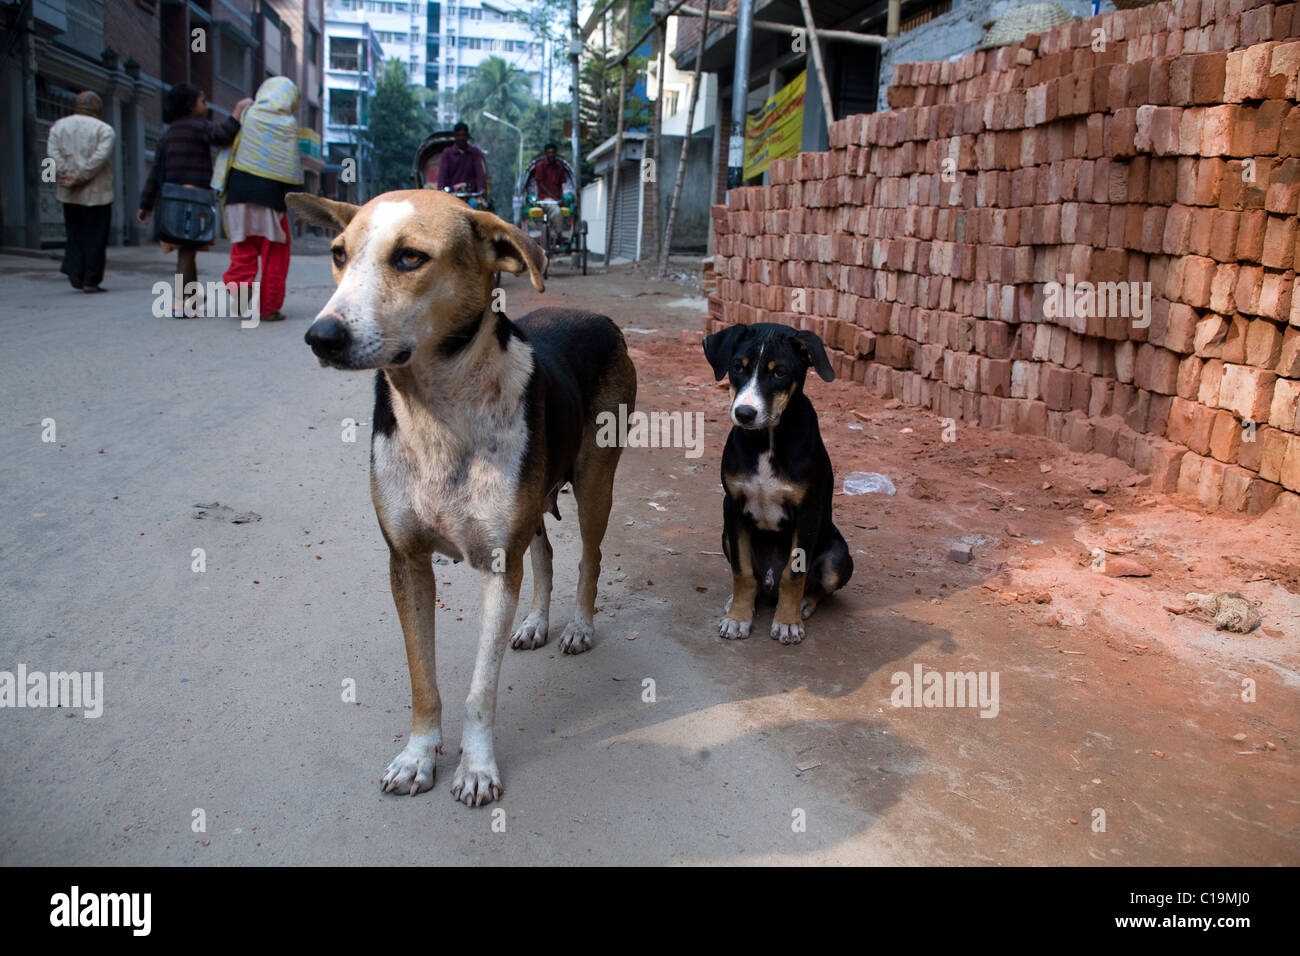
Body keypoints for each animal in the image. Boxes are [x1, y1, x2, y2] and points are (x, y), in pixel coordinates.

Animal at [284, 188, 634, 806]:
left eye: (410, 258)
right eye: (338, 254)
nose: (321, 336)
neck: (438, 413)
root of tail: (600, 316)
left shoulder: (497, 564)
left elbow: (480, 690)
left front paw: (476, 768)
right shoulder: (406, 561)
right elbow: (423, 678)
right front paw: (418, 756)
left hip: (595, 481)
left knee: (588, 556)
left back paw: (577, 627)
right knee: (544, 553)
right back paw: (536, 623)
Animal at [702, 325, 852, 647]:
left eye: (780, 372)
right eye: (737, 367)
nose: (744, 413)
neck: (766, 439)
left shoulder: (808, 512)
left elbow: (793, 574)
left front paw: (787, 622)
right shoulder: (732, 507)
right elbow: (742, 571)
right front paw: (738, 617)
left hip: (838, 557)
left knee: (819, 586)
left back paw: (804, 604)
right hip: (725, 536)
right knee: (756, 582)